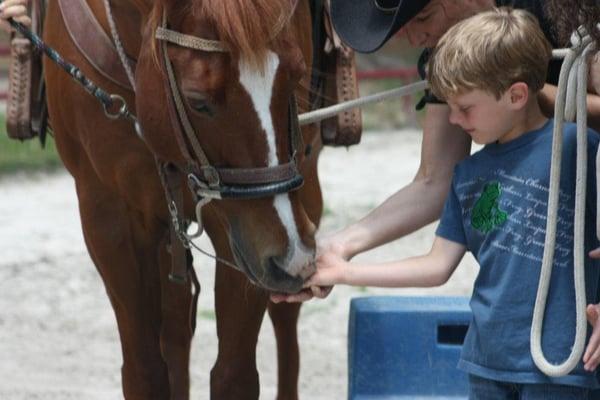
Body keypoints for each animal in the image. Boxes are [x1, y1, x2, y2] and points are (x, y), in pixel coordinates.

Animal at [42, 0, 324, 396]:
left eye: (294, 76)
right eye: (198, 102)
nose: (291, 257)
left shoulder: (240, 231)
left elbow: (233, 375)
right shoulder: (109, 222)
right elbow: (145, 372)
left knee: (283, 315)